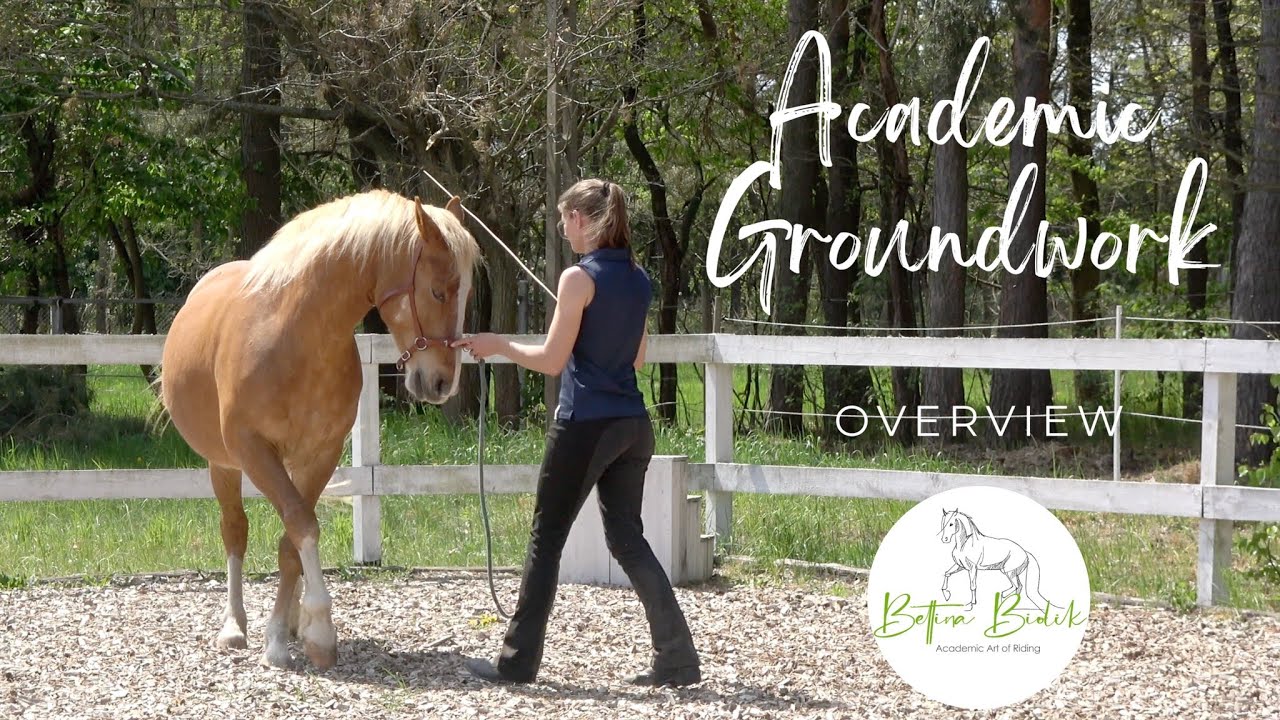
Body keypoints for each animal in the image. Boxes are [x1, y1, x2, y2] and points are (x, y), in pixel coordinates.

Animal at [159, 189, 480, 669]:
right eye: (437, 290)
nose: (443, 383)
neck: (294, 337)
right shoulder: (253, 451)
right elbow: (300, 525)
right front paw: (317, 629)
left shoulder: (321, 454)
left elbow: (294, 538)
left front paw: (291, 631)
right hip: (224, 465)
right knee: (235, 531)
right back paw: (234, 627)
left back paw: (289, 619)